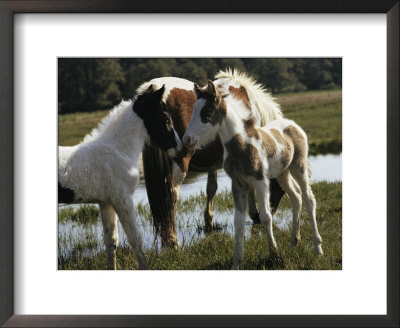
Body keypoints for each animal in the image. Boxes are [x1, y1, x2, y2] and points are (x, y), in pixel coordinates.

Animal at [57, 84, 181, 270]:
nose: (179, 146)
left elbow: (111, 241)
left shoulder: (106, 202)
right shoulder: (122, 200)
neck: (118, 150)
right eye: (165, 116)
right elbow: (135, 239)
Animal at [141, 70, 284, 249]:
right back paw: (173, 241)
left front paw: (208, 222)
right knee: (171, 195)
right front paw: (254, 214)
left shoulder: (214, 162)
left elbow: (211, 188)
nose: (272, 210)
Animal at [183, 80, 324, 270]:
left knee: (309, 199)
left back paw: (318, 248)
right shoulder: (238, 184)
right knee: (296, 197)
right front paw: (236, 262)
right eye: (193, 111)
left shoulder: (260, 181)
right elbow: (238, 222)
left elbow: (265, 216)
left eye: (208, 112)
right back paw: (293, 242)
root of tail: (292, 124)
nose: (187, 139)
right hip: (282, 173)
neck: (241, 145)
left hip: (298, 167)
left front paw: (274, 255)